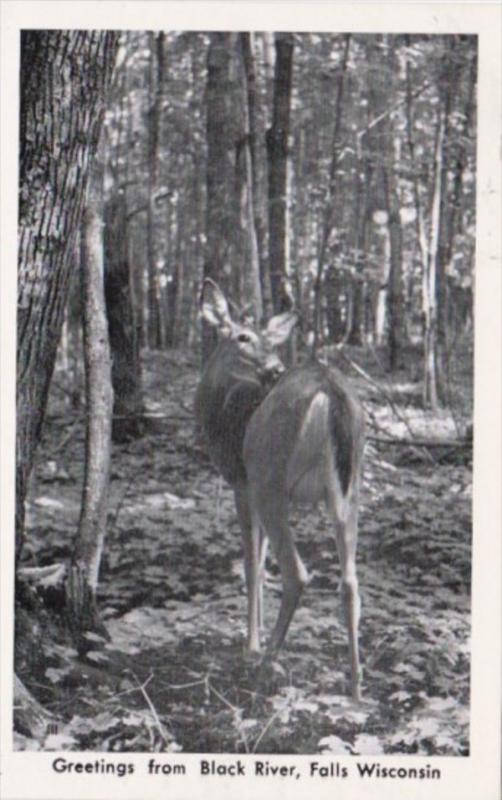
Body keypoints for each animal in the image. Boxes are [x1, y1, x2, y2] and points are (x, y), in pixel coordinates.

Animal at [193, 280, 364, 700]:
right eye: (243, 337)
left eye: (270, 340)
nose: (274, 368)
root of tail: (329, 392)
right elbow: (260, 562)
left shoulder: (243, 483)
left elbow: (251, 564)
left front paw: (250, 644)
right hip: (348, 489)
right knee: (350, 582)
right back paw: (355, 686)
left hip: (268, 473)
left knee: (298, 573)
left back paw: (266, 664)